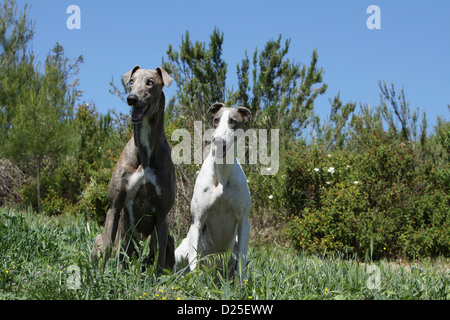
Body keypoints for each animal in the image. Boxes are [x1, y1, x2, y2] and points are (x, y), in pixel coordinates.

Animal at [174, 102, 251, 278]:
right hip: (179, 253)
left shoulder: (243, 222)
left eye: (233, 121)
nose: (218, 141)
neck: (222, 172)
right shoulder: (197, 221)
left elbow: (242, 263)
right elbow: (194, 261)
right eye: (216, 120)